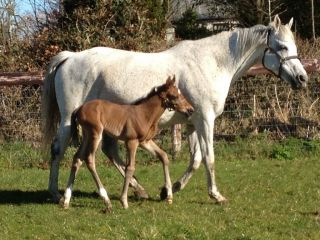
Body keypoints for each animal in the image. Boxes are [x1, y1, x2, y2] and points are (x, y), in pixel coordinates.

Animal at [61, 76, 194, 211]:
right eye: (174, 95)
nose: (190, 109)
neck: (143, 114)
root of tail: (78, 109)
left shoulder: (144, 141)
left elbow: (164, 156)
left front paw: (169, 196)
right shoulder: (131, 142)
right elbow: (130, 168)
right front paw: (124, 201)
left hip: (87, 135)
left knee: (77, 158)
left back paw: (66, 200)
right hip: (95, 133)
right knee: (89, 159)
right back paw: (106, 200)